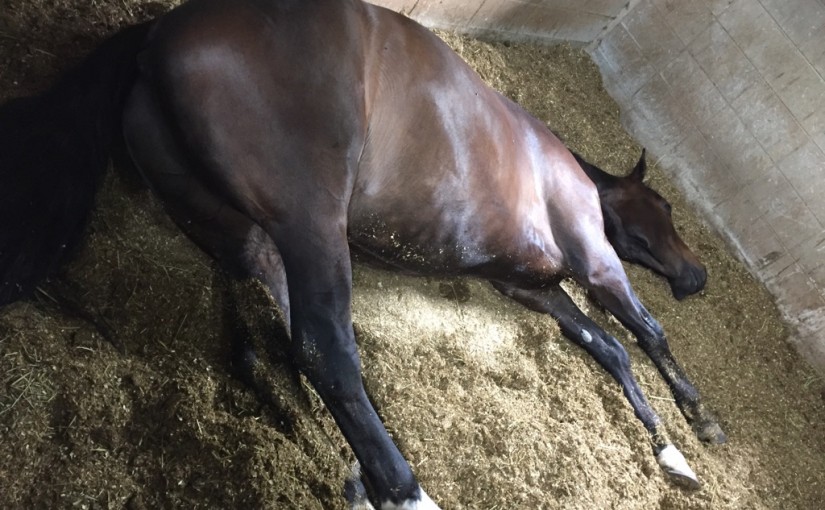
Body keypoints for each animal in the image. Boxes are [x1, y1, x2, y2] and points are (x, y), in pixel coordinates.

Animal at [0, 0, 721, 507]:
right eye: (660, 210)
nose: (697, 277)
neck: (560, 173)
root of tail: (157, 38)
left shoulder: (530, 288)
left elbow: (608, 349)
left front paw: (669, 452)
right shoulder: (595, 263)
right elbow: (646, 333)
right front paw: (700, 419)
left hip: (240, 235)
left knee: (281, 345)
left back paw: (352, 477)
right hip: (311, 224)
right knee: (327, 349)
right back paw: (404, 491)